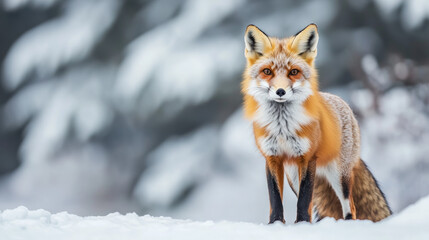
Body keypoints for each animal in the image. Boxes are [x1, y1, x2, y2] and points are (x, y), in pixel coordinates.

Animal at [241, 23, 392, 223]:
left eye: (293, 72)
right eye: (267, 71)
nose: (280, 91)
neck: (282, 127)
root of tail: (342, 103)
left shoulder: (307, 157)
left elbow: (304, 201)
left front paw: (302, 224)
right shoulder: (272, 158)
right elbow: (275, 199)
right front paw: (276, 224)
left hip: (338, 175)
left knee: (349, 206)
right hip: (293, 176)